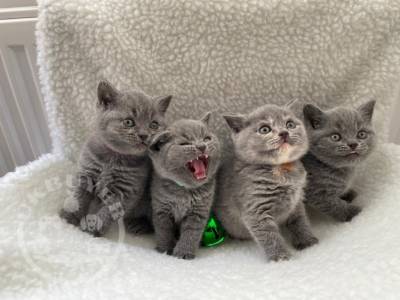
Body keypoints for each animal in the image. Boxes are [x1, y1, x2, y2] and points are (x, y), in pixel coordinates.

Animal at [59, 81, 172, 236]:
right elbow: (78, 197)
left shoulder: (125, 191)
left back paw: (140, 225)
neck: (113, 159)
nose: (144, 135)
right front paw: (68, 218)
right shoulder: (86, 173)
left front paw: (93, 229)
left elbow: (108, 212)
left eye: (153, 125)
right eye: (129, 122)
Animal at [148, 113, 220, 258]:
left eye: (206, 138)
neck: (184, 191)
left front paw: (183, 253)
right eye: (185, 143)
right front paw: (165, 249)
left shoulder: (198, 212)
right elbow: (163, 230)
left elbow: (191, 233)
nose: (202, 146)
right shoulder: (161, 208)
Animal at [214, 102, 318, 260]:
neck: (280, 169)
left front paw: (308, 242)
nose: (284, 133)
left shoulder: (296, 201)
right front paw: (280, 257)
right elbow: (269, 235)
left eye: (290, 124)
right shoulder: (255, 209)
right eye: (264, 129)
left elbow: (300, 221)